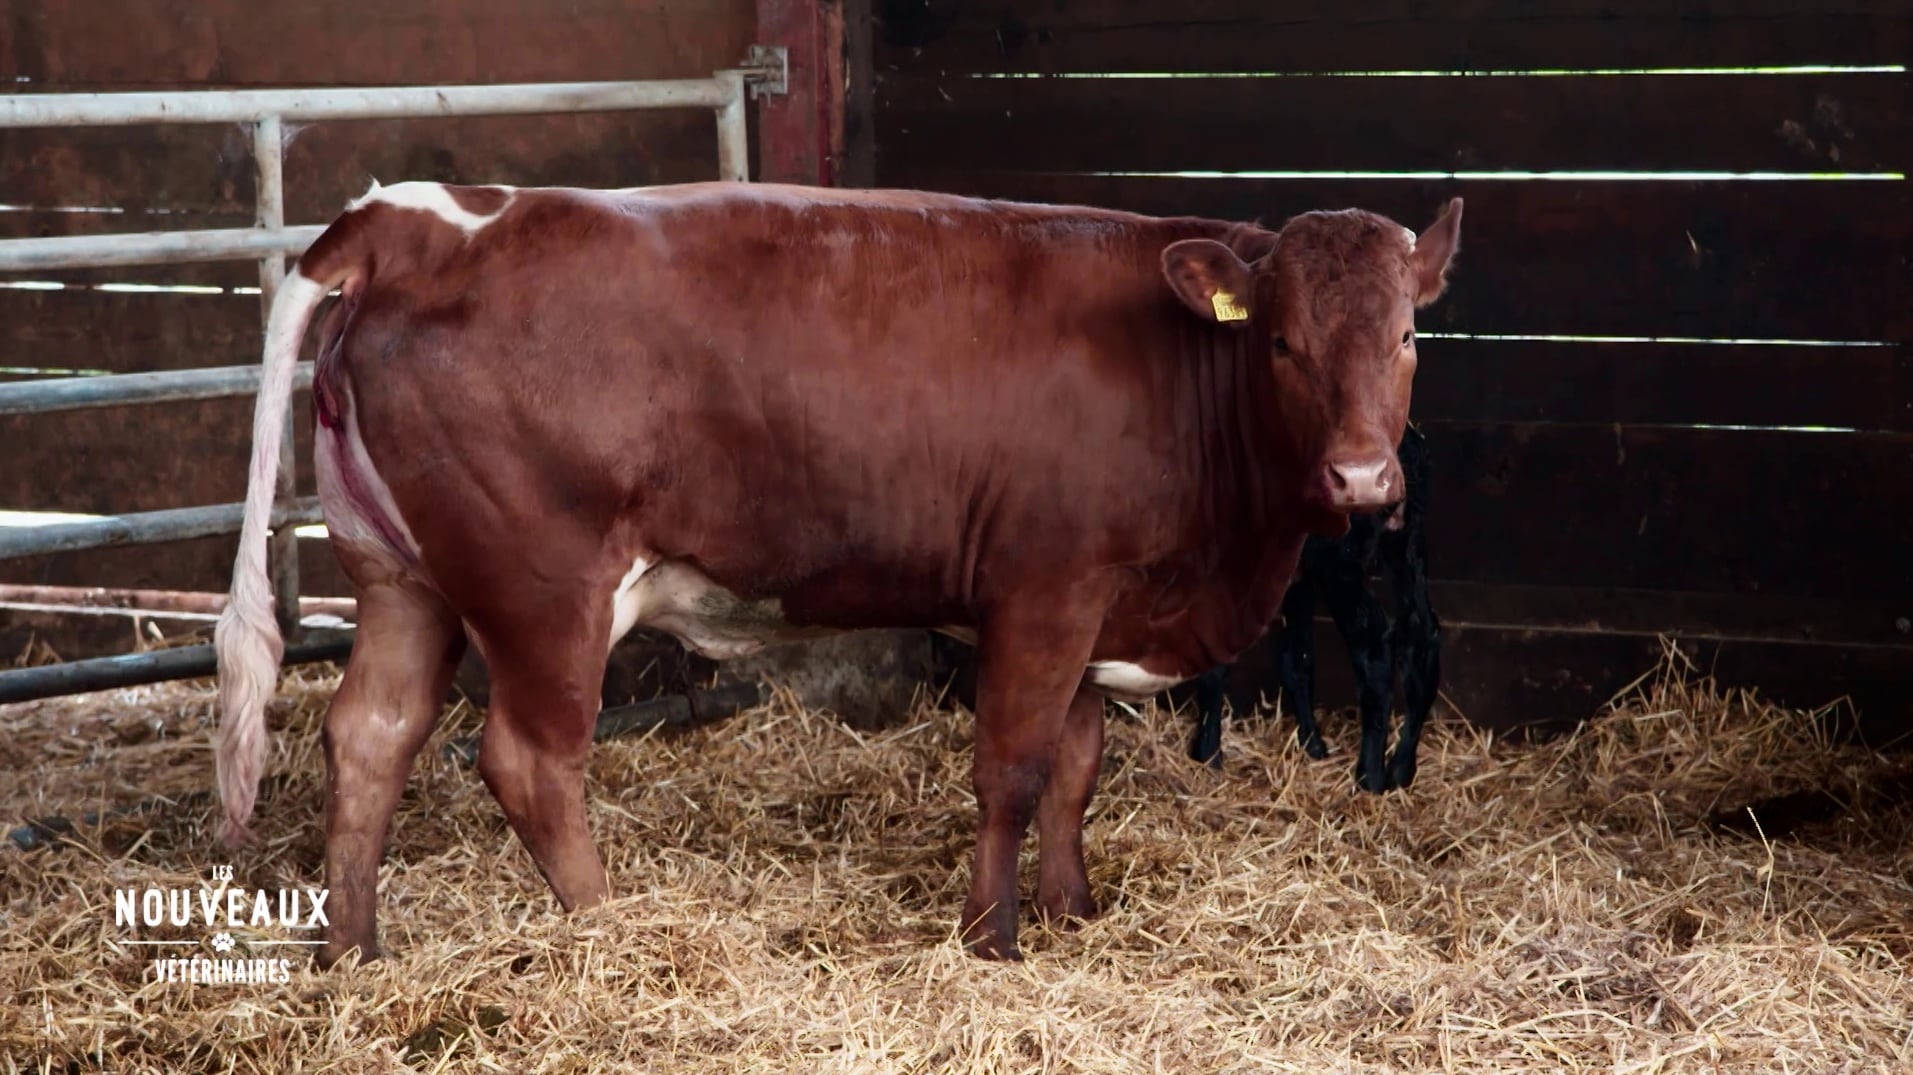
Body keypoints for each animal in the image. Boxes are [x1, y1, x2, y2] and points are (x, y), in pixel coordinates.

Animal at [217, 179, 1453, 956]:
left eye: (1403, 335)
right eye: (1281, 341)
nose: (1360, 478)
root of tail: (414, 218)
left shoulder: (1095, 602)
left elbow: (1075, 767)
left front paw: (1072, 911)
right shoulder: (1044, 589)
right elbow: (1012, 770)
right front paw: (991, 937)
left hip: (398, 573)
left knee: (369, 735)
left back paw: (356, 949)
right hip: (544, 590)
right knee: (529, 760)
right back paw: (610, 925)